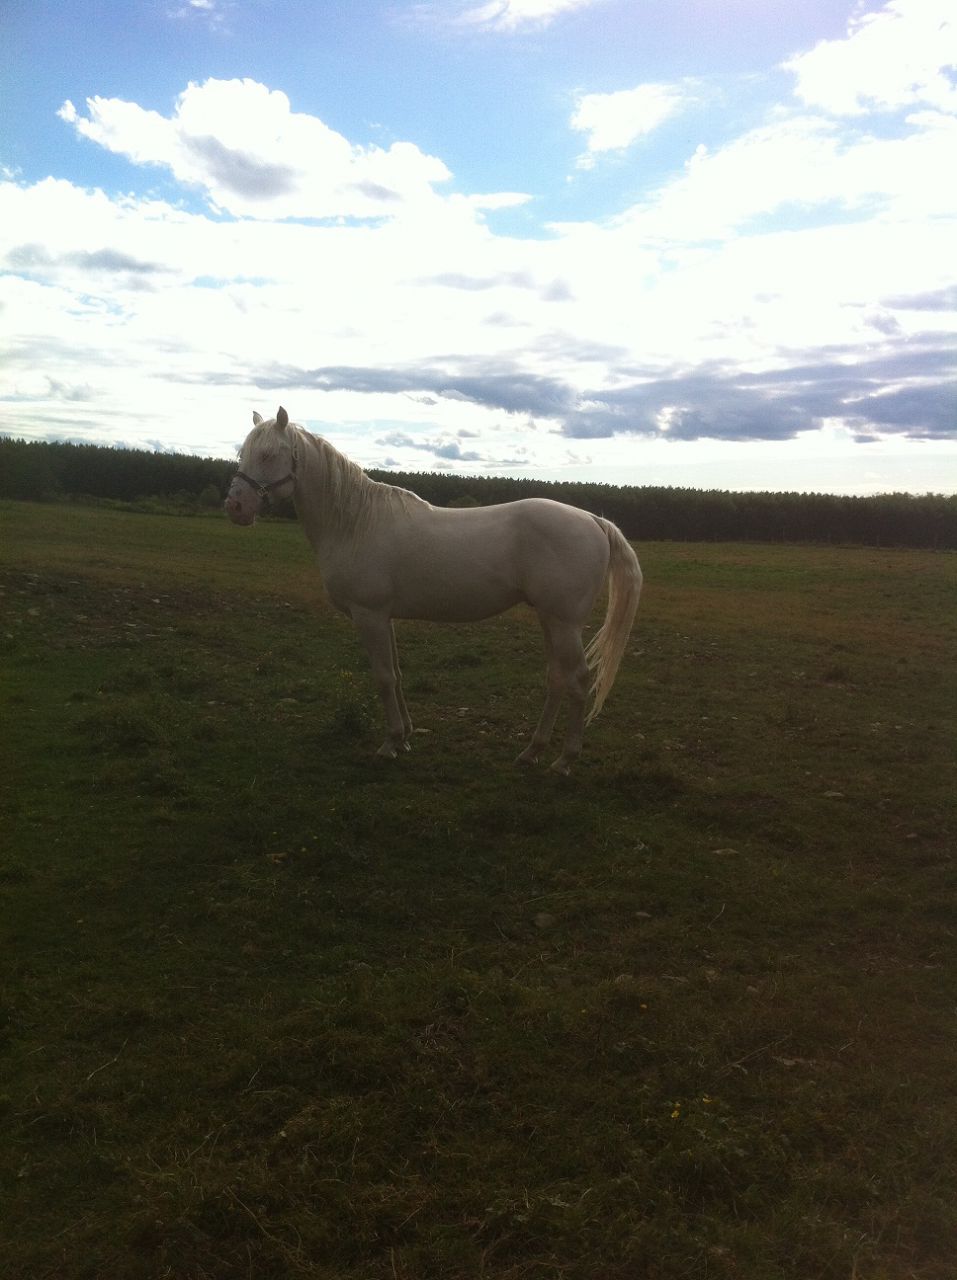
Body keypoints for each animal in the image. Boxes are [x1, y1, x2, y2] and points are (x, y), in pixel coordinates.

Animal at [225, 407, 642, 773]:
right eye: (242, 453)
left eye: (267, 454)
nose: (235, 507)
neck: (354, 523)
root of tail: (593, 520)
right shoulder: (384, 617)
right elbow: (395, 673)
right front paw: (405, 737)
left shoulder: (369, 615)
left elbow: (383, 678)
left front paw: (389, 743)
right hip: (549, 619)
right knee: (557, 678)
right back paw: (531, 752)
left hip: (565, 623)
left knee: (579, 681)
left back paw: (565, 760)